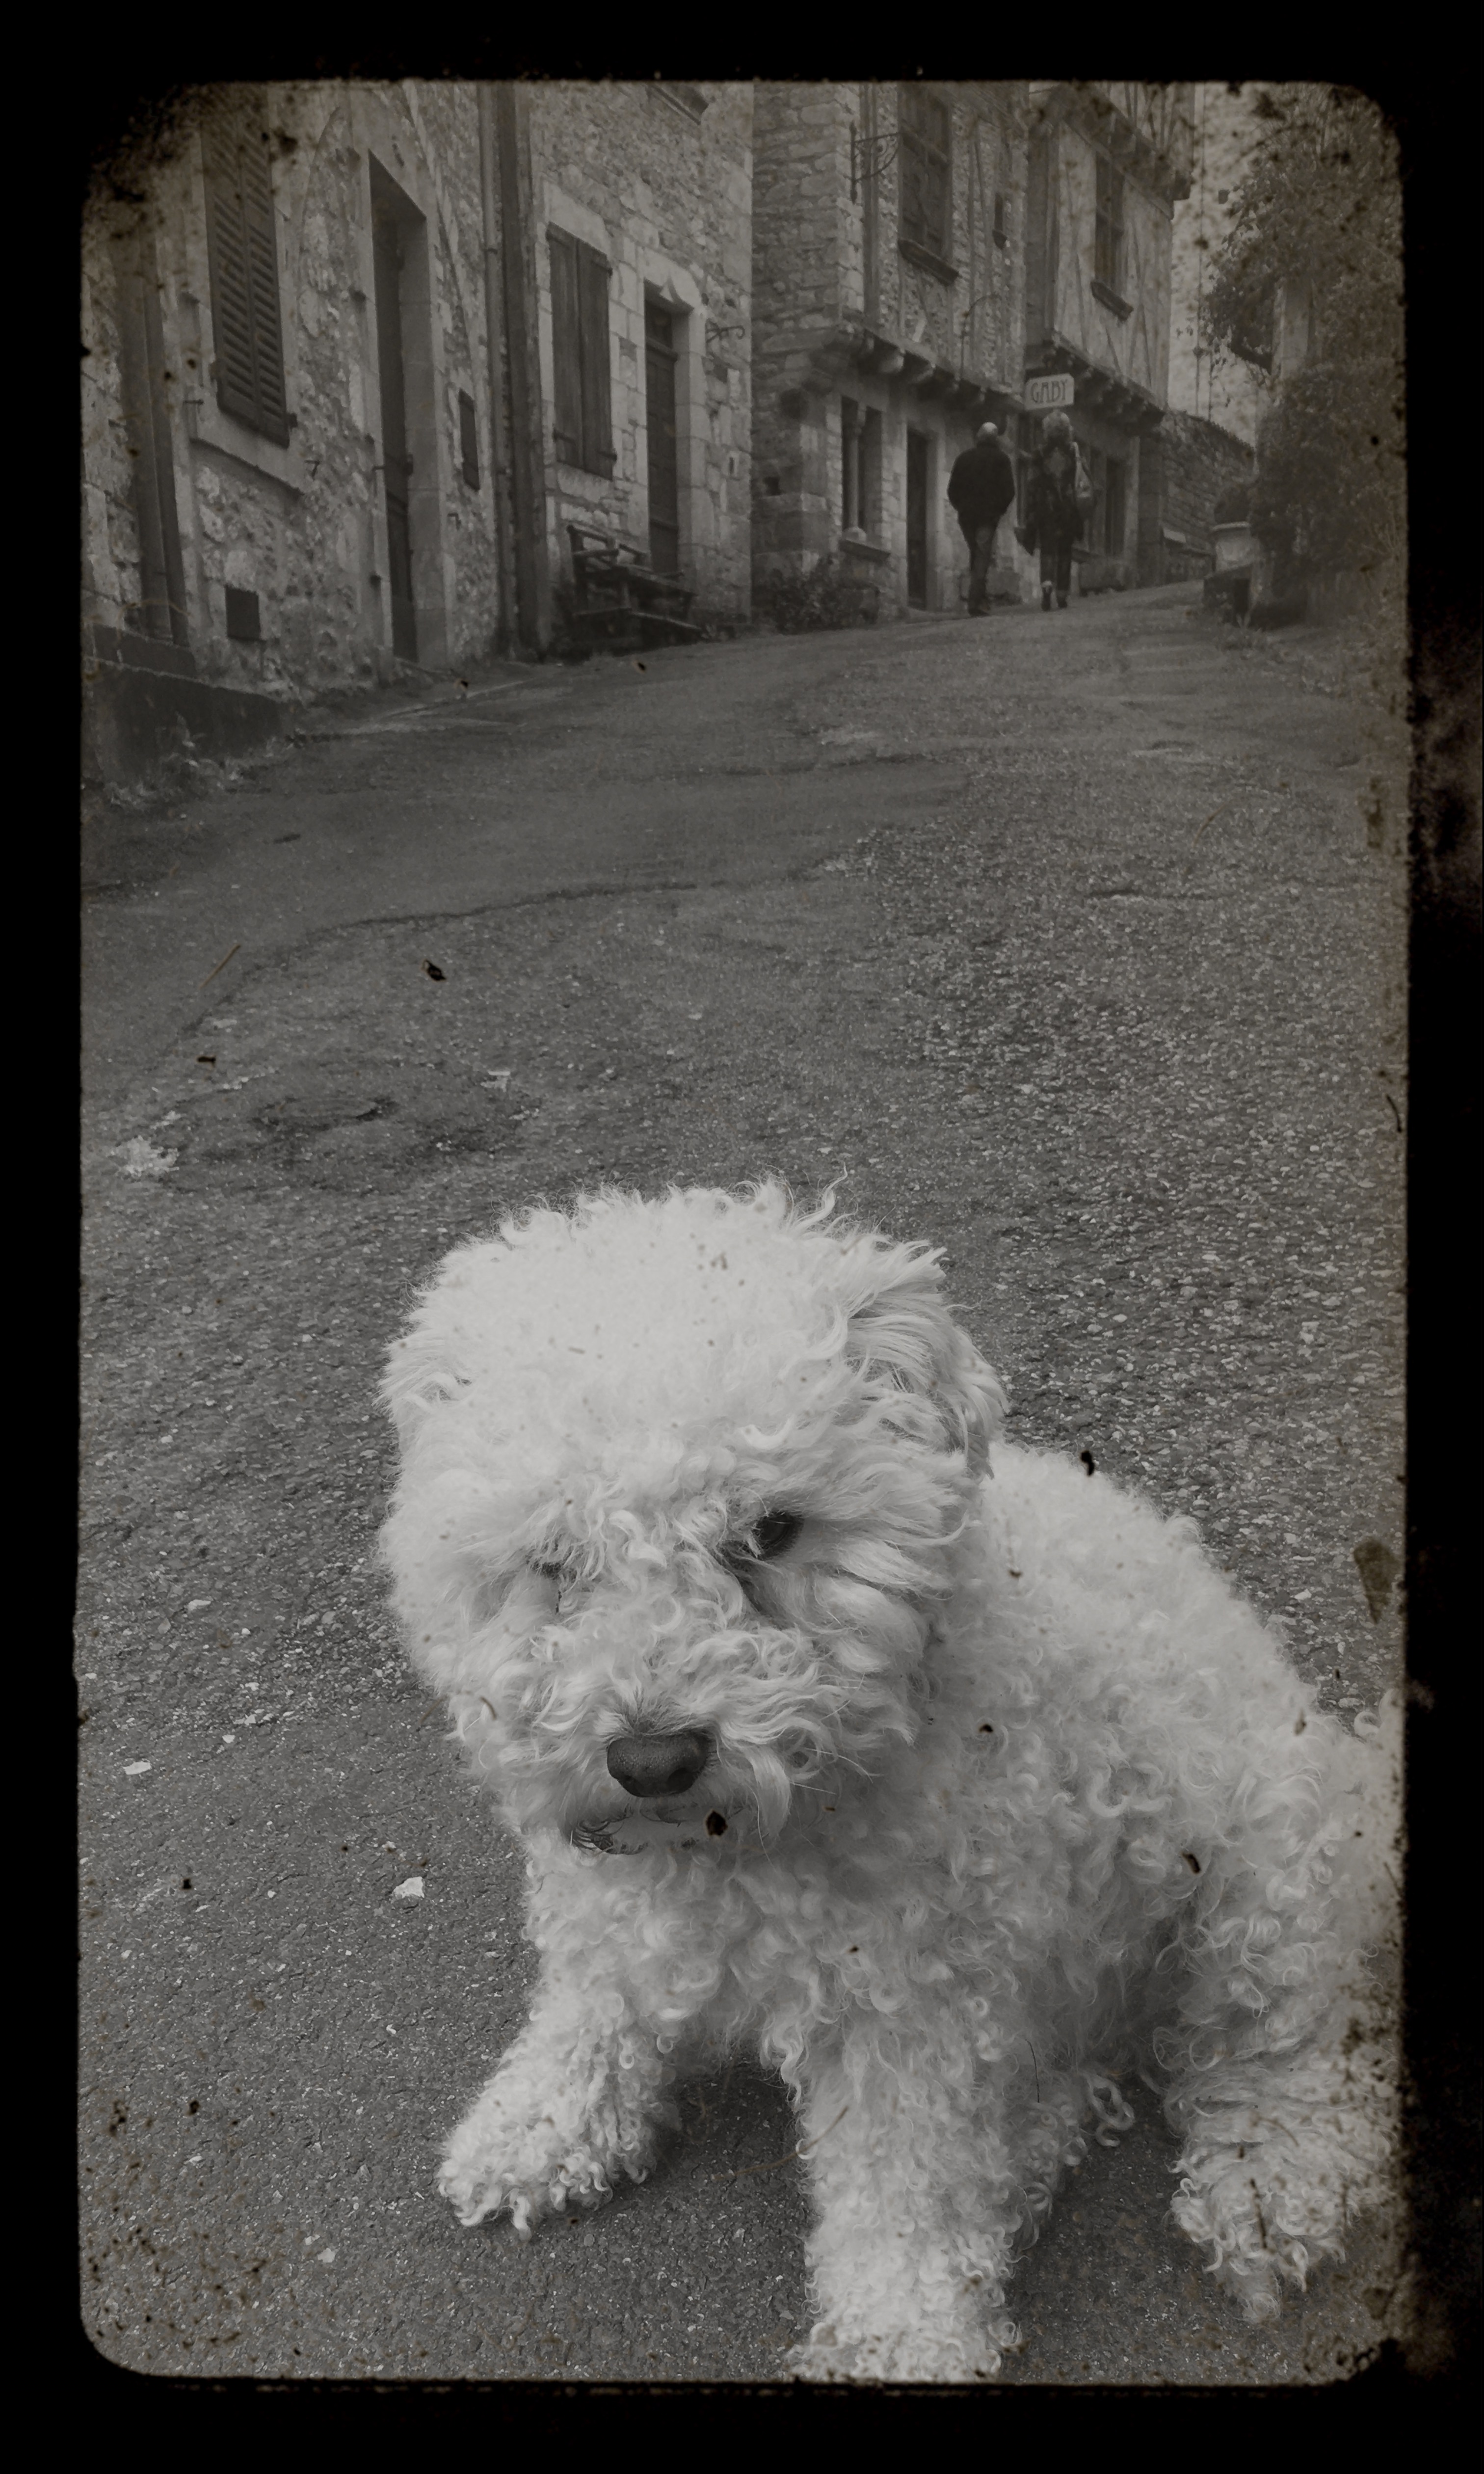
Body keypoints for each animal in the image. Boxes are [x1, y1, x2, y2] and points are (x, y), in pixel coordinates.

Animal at [376, 1187, 1395, 2385]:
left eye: (770, 1530)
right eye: (552, 1554)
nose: (652, 1759)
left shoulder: (918, 2005)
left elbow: (905, 2178)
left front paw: (899, 2332)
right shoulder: (613, 1915)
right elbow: (594, 2008)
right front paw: (540, 2124)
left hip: (1261, 1889)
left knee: (1288, 2053)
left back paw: (1264, 2184)